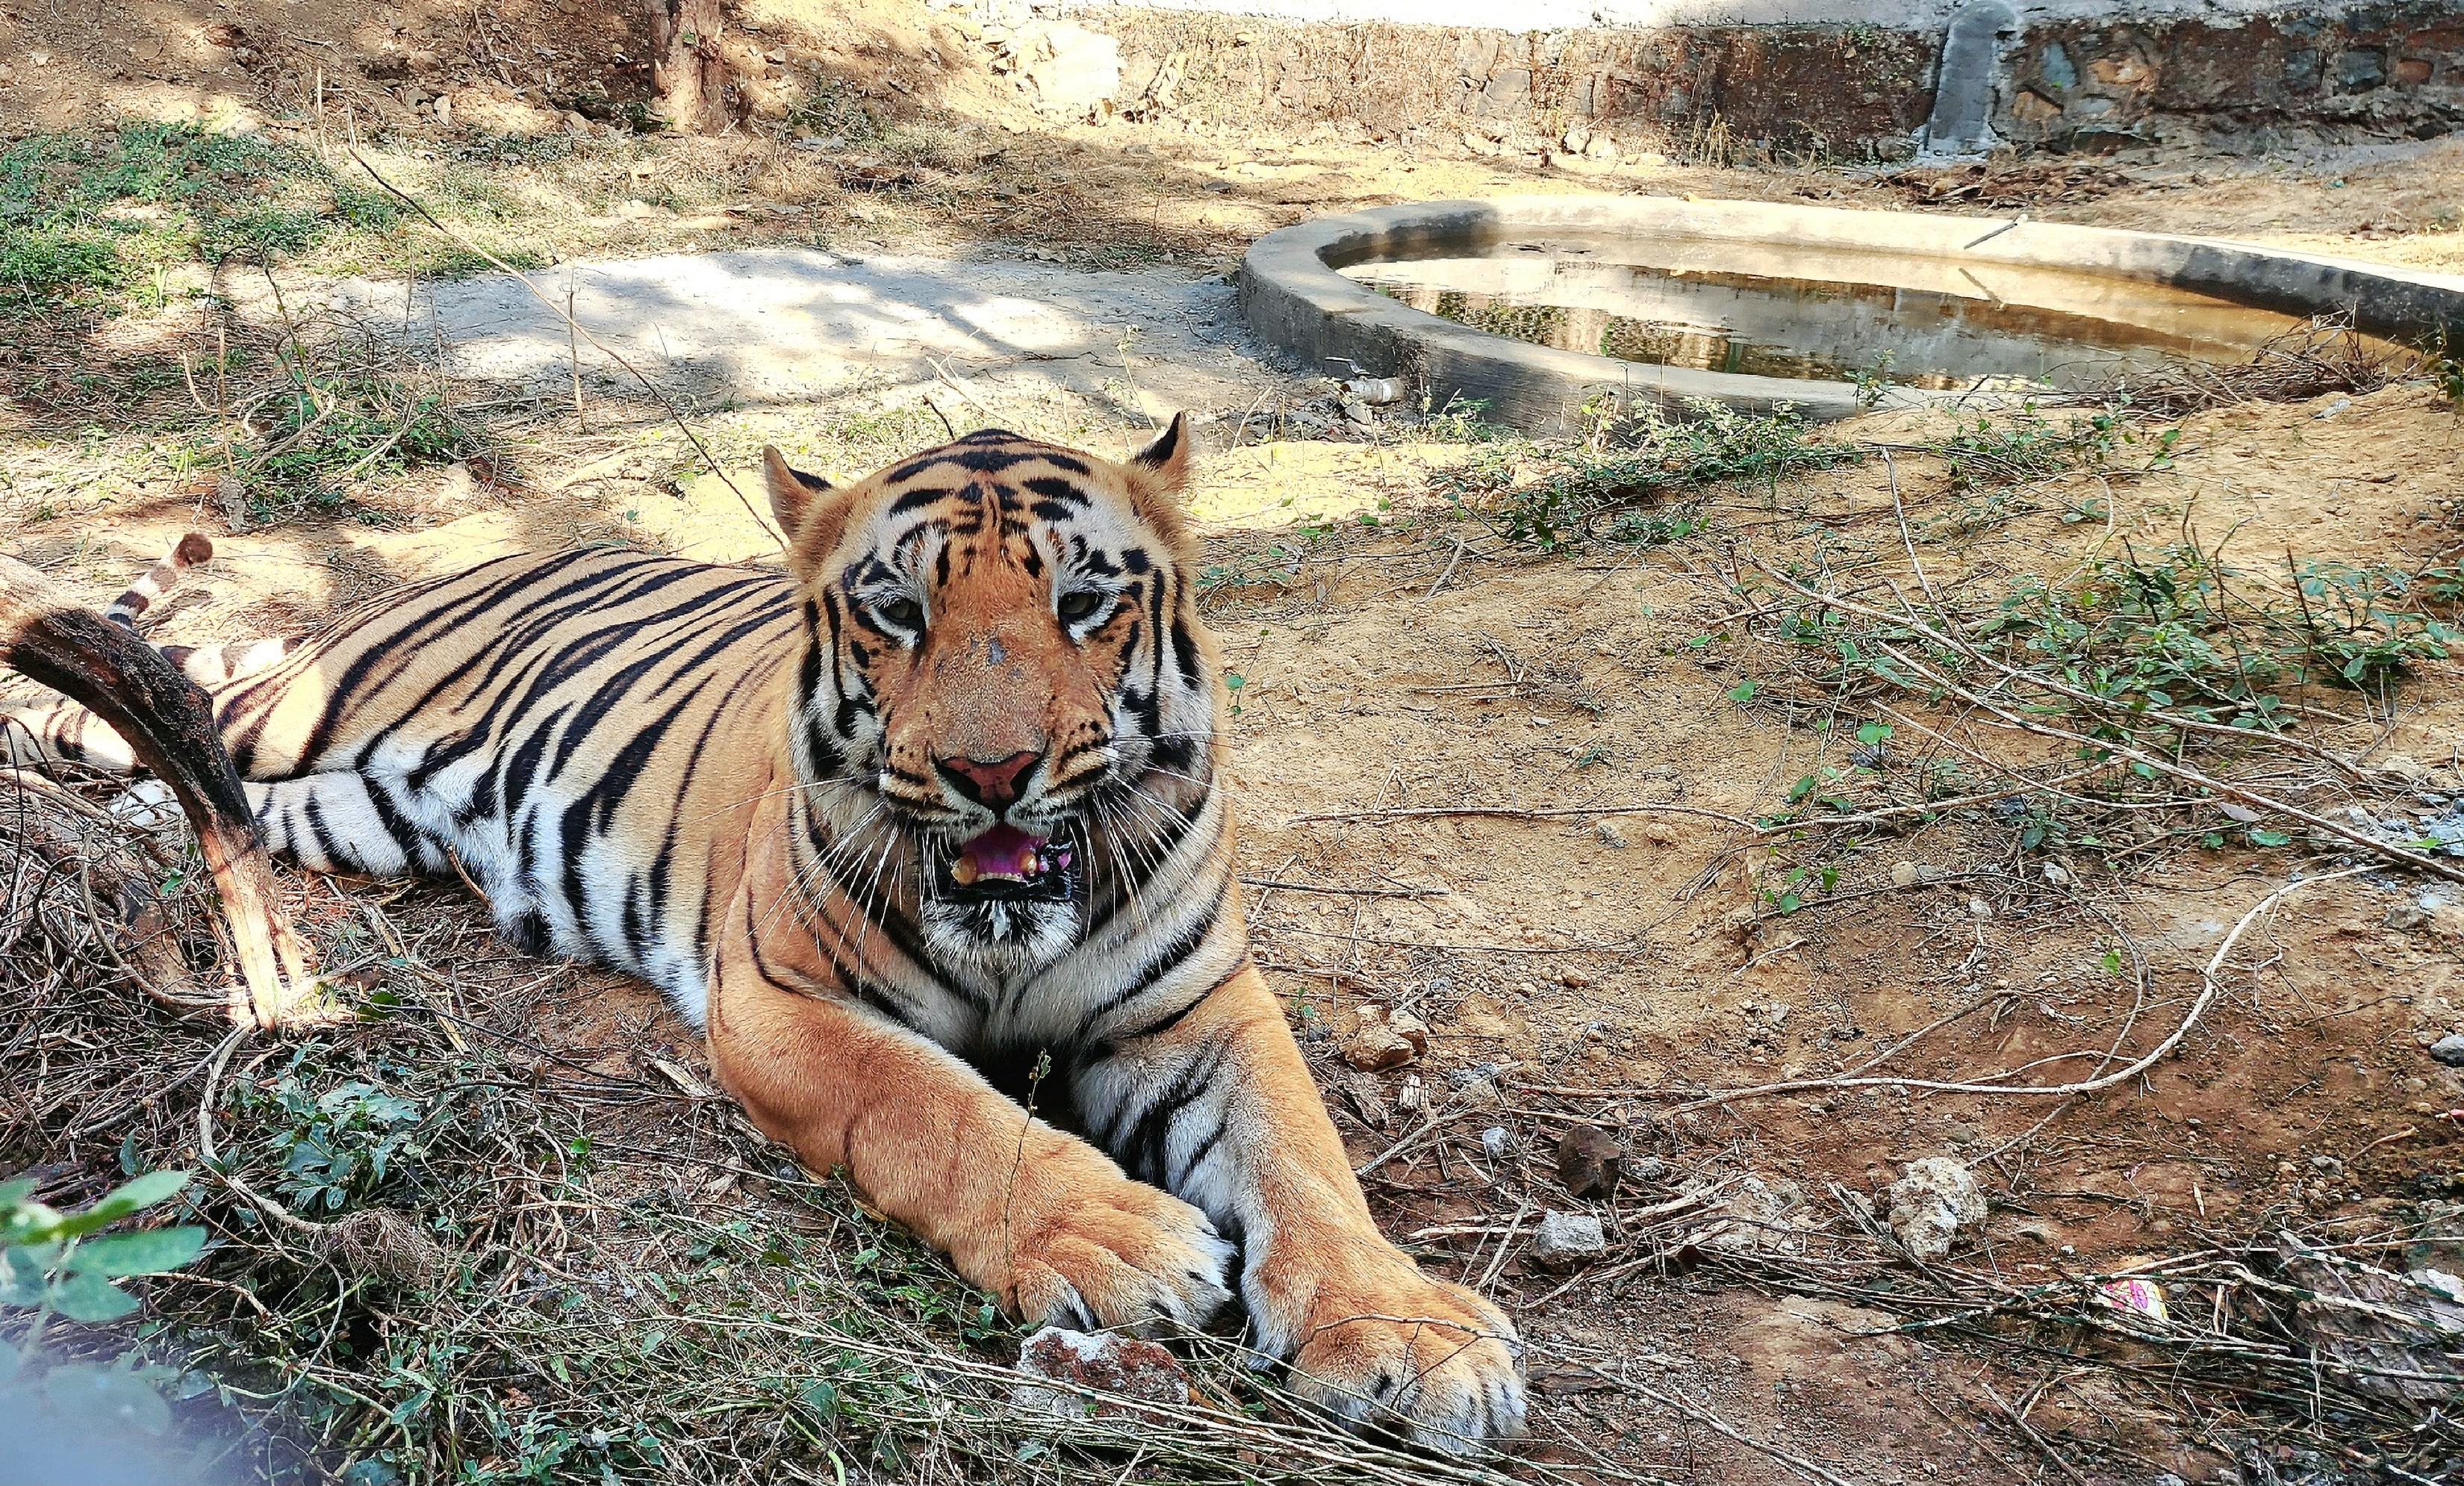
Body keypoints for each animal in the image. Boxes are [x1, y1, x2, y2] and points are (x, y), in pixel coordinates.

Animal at [8, 419, 1529, 1453]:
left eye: (1083, 602)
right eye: (898, 609)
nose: (992, 773)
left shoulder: (1198, 1007)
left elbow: (1305, 1157)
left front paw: (1412, 1338)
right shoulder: (781, 997)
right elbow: (941, 1114)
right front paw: (1125, 1241)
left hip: (344, 809)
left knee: (196, 783)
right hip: (297, 709)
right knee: (119, 711)